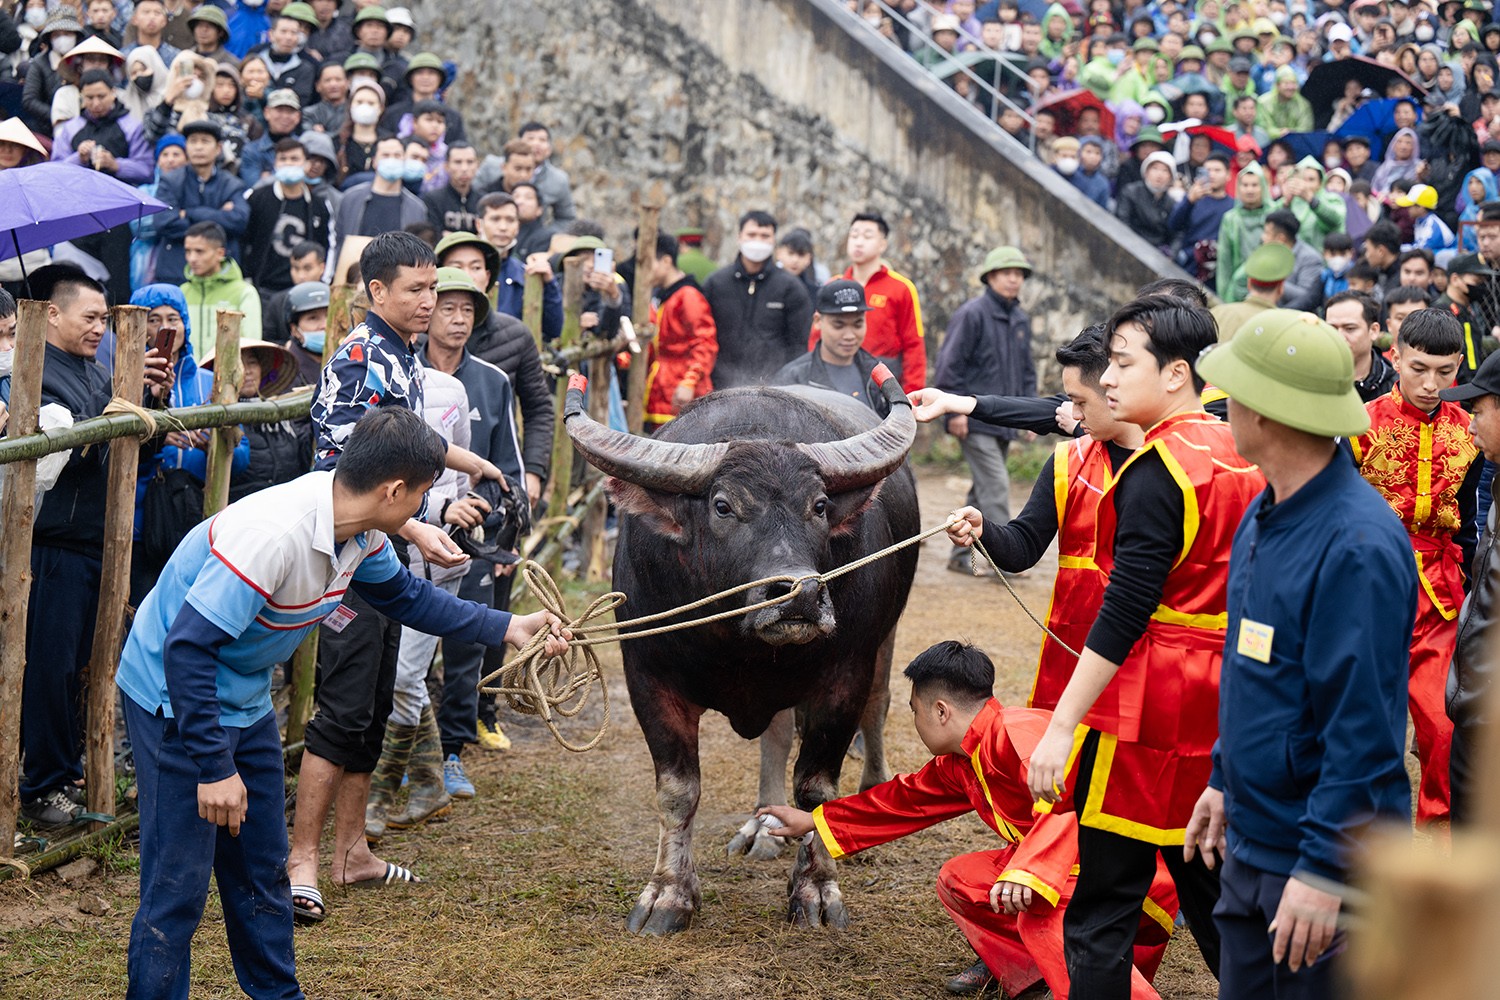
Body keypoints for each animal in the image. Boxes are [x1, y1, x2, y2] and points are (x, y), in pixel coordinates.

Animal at [561, 370, 912, 941]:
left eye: (819, 505)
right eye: (723, 506)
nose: (801, 595)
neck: (738, 644)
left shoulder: (845, 675)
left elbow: (817, 789)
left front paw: (816, 889)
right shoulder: (648, 678)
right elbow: (678, 791)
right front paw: (668, 894)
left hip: (885, 638)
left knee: (877, 706)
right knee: (777, 733)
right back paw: (765, 823)